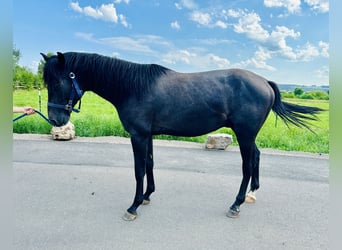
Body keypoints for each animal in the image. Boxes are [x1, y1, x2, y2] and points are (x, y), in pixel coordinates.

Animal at [40, 51, 324, 220]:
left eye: (56, 82)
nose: (55, 120)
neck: (132, 86)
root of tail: (265, 82)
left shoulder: (138, 135)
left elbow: (139, 170)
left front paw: (133, 206)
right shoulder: (148, 135)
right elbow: (150, 165)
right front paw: (147, 196)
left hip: (244, 134)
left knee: (247, 164)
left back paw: (237, 204)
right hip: (249, 136)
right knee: (256, 156)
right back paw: (253, 192)